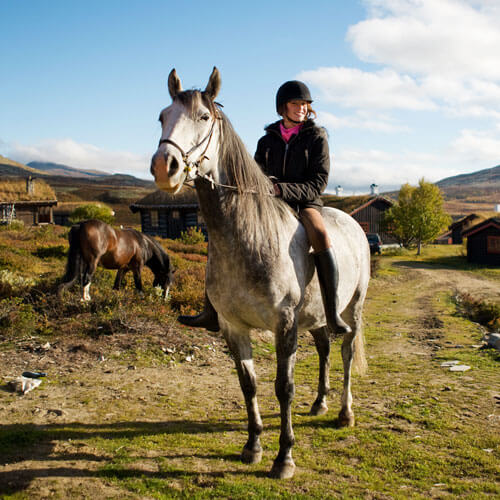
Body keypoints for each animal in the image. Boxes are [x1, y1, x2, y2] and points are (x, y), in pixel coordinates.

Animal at [150, 67, 370, 480]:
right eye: (161, 117)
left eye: (204, 117)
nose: (163, 167)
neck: (248, 237)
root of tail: (353, 223)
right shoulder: (233, 327)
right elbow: (248, 384)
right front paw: (252, 446)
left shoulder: (284, 324)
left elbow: (284, 387)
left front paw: (284, 457)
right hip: (317, 316)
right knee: (325, 348)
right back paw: (320, 403)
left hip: (353, 308)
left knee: (346, 350)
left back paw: (344, 412)